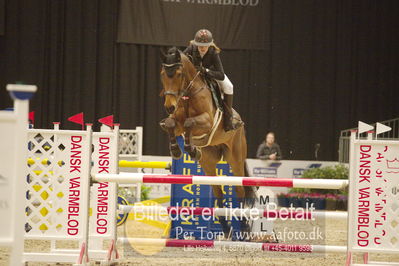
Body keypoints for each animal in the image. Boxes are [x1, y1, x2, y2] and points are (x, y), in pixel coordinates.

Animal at [160, 46, 256, 239]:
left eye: (179, 74)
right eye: (162, 75)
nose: (169, 106)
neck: (188, 94)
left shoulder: (207, 122)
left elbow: (190, 123)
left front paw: (190, 148)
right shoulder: (176, 122)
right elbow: (171, 124)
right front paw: (178, 150)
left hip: (235, 158)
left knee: (240, 190)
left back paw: (243, 226)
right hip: (209, 163)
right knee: (218, 191)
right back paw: (226, 228)